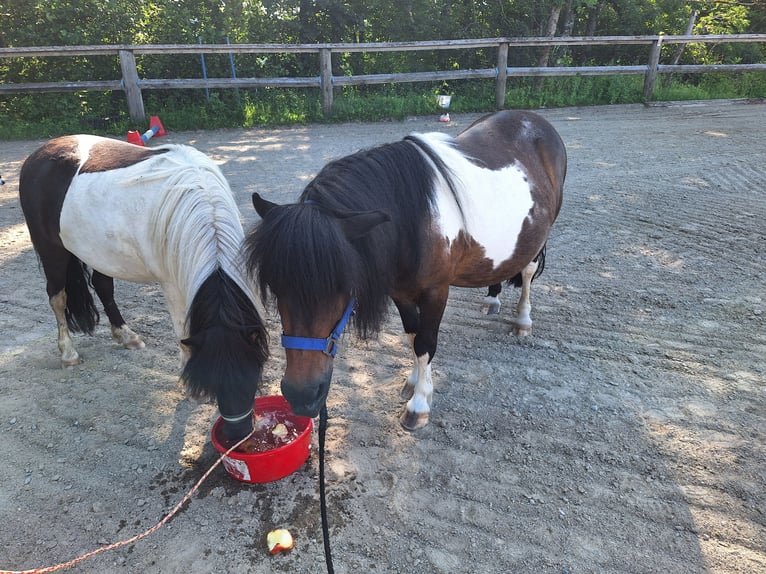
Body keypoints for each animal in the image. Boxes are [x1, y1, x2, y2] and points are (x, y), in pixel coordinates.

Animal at [18, 135, 269, 440]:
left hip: (101, 254)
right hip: (51, 251)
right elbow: (182, 330)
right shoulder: (172, 285)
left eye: (252, 374)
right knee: (57, 298)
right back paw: (68, 353)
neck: (201, 205)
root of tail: (37, 155)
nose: (238, 434)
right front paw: (189, 385)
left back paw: (126, 336)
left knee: (103, 288)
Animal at [245, 110, 566, 431]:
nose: (302, 396)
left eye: (343, 285)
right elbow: (413, 336)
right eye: (274, 285)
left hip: (541, 235)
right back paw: (492, 298)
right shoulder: (400, 292)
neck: (415, 221)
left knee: (528, 272)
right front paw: (414, 383)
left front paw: (419, 404)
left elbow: (425, 342)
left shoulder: (436, 291)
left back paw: (523, 320)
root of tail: (533, 119)